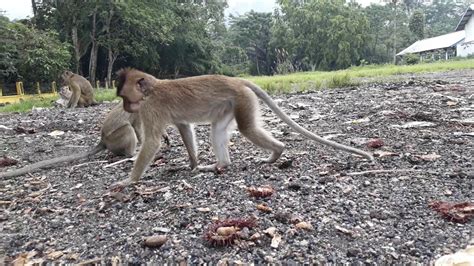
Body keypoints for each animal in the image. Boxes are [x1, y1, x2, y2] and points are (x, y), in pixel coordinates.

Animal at [115, 67, 374, 186]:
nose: (126, 108)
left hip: (242, 100)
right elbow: (185, 129)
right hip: (230, 105)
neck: (151, 89)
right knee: (217, 131)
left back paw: (277, 152)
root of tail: (235, 80)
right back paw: (221, 164)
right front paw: (193, 164)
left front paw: (129, 180)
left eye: (125, 98)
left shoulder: (150, 108)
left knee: (247, 129)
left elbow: (152, 142)